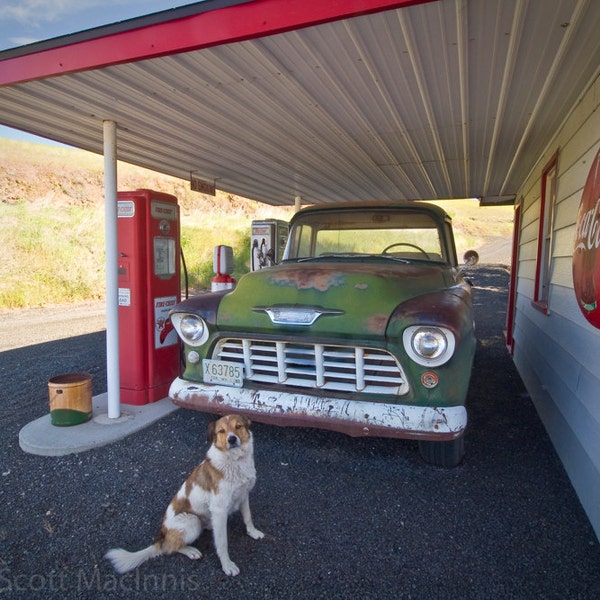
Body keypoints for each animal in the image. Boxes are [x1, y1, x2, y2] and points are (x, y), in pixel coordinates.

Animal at [105, 412, 262, 576]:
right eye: (221, 431)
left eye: (238, 426)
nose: (231, 439)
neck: (235, 461)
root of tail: (162, 536)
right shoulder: (219, 510)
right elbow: (222, 542)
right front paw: (227, 565)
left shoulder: (244, 495)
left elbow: (248, 517)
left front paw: (253, 532)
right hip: (192, 521)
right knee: (169, 548)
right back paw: (190, 550)